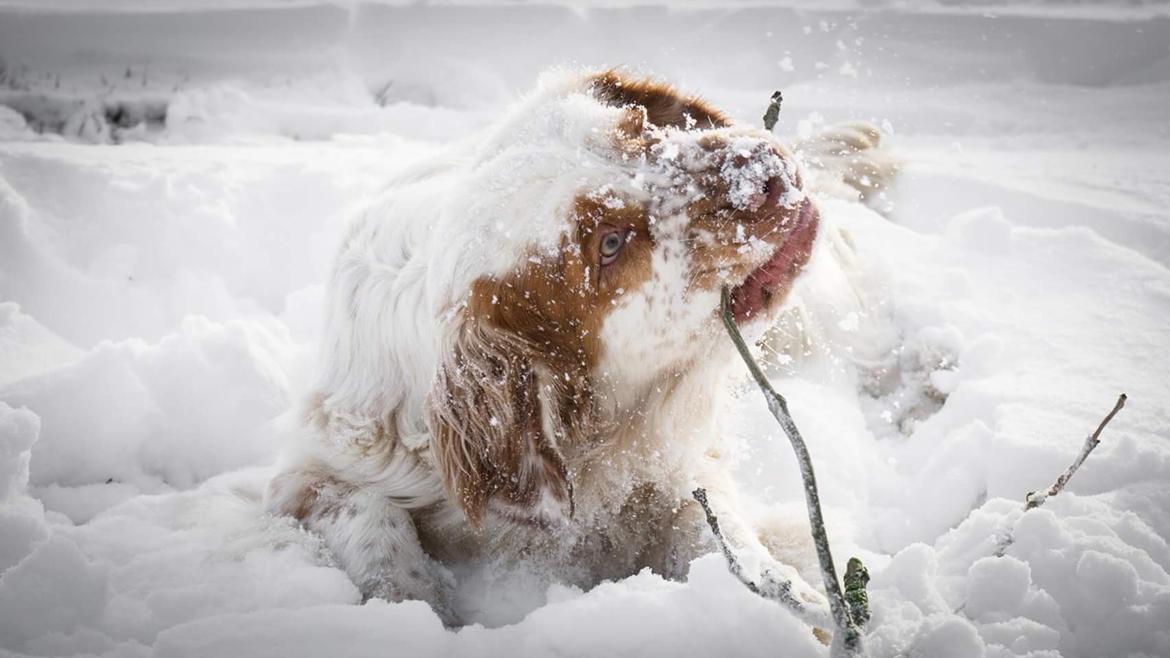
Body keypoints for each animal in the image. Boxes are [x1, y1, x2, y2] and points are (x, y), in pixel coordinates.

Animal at [265, 66, 884, 622]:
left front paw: (798, 603)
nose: (763, 169)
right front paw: (412, 607)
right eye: (609, 244)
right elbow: (373, 524)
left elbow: (713, 530)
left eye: (639, 128)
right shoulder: (317, 468)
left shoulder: (677, 461)